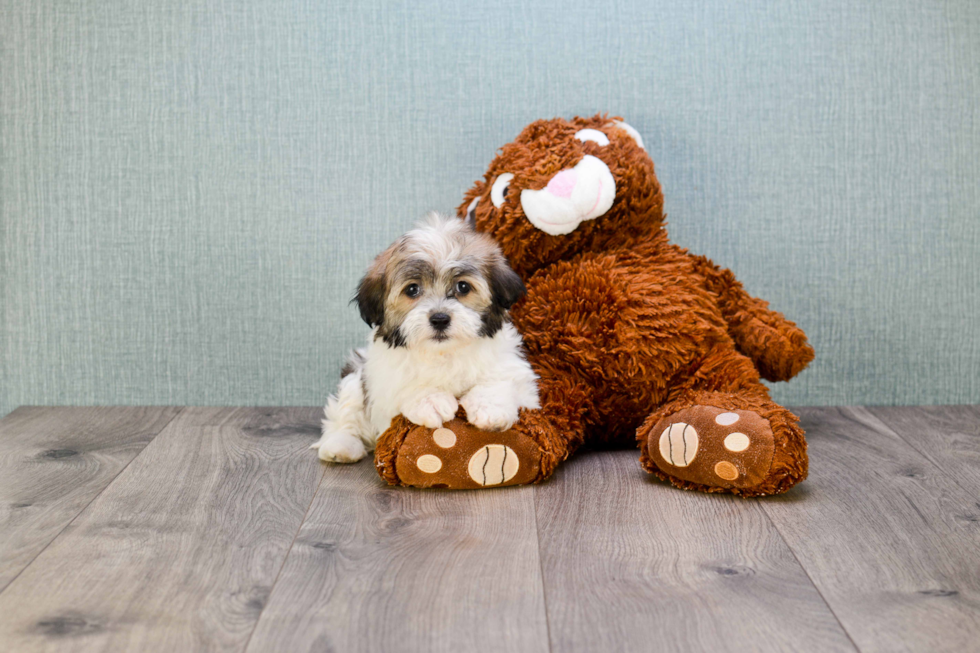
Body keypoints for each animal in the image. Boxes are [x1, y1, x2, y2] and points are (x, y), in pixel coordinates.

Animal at [312, 211, 540, 460]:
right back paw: (341, 445)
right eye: (412, 289)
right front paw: (431, 400)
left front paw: (490, 408)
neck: (443, 352)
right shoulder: (383, 385)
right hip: (355, 374)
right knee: (344, 414)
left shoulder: (520, 379)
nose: (440, 318)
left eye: (463, 287)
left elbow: (501, 380)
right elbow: (406, 386)